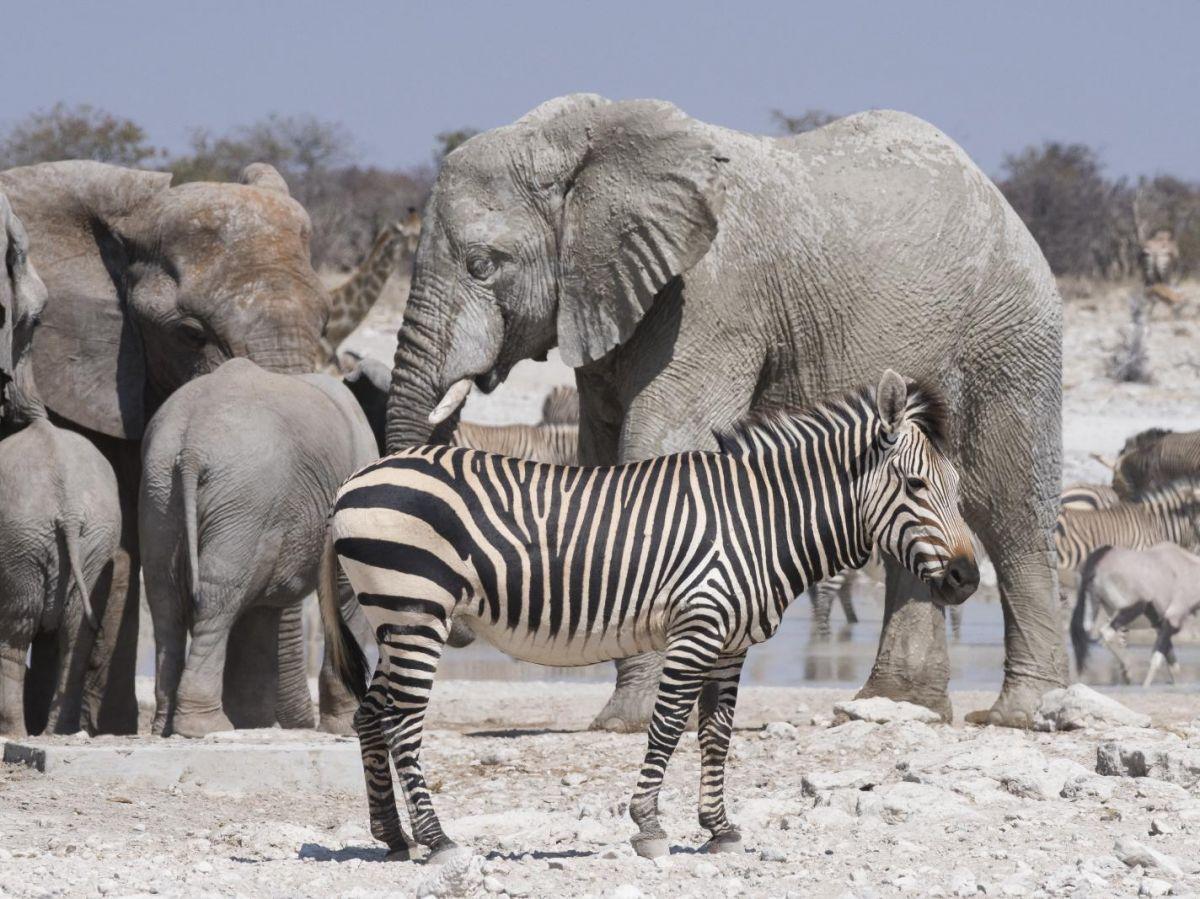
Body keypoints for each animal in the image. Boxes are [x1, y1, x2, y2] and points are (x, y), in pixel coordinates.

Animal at [319, 370, 978, 862]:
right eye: (916, 485)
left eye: (953, 485)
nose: (968, 579)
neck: (761, 521)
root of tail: (357, 477)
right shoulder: (697, 627)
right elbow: (667, 725)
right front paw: (650, 826)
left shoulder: (732, 642)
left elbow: (716, 734)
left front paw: (719, 828)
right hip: (416, 610)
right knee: (402, 719)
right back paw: (438, 840)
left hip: (396, 618)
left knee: (371, 714)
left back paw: (393, 837)